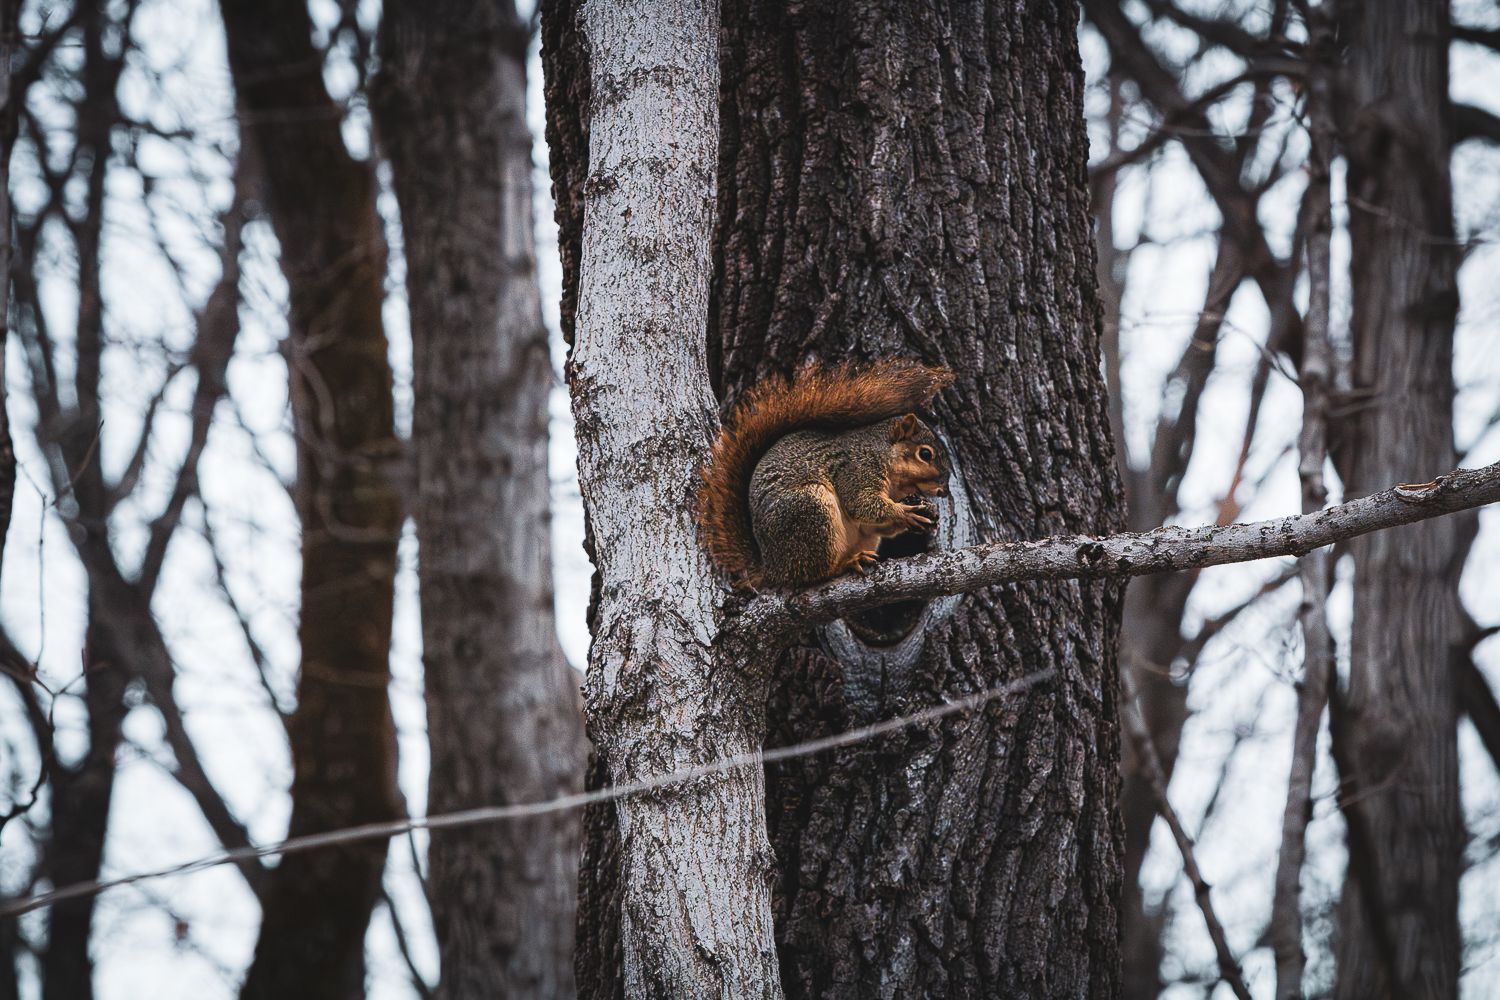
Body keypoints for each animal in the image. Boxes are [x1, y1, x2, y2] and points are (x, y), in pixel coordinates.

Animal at [696, 359, 954, 589]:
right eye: (925, 454)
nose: (944, 490)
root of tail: (772, 569)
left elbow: (873, 523)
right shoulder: (856, 471)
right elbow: (862, 503)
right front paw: (904, 512)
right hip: (811, 510)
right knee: (815, 574)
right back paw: (847, 563)